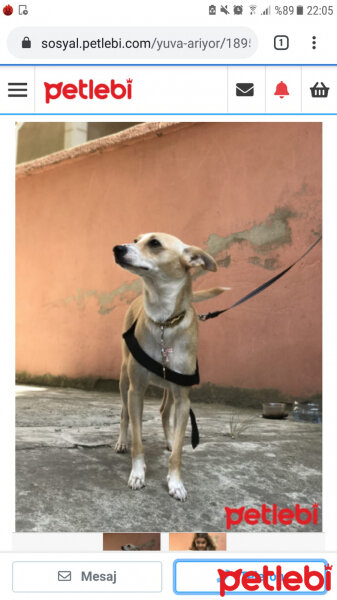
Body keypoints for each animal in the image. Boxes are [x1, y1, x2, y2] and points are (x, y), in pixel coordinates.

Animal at [112, 232, 226, 500]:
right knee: (124, 414)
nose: (117, 248)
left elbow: (178, 452)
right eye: (136, 240)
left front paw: (175, 482)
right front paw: (138, 474)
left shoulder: (183, 398)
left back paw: (169, 440)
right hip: (124, 381)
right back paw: (122, 441)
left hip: (171, 390)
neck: (164, 321)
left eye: (154, 243)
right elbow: (138, 441)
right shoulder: (136, 391)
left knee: (165, 413)